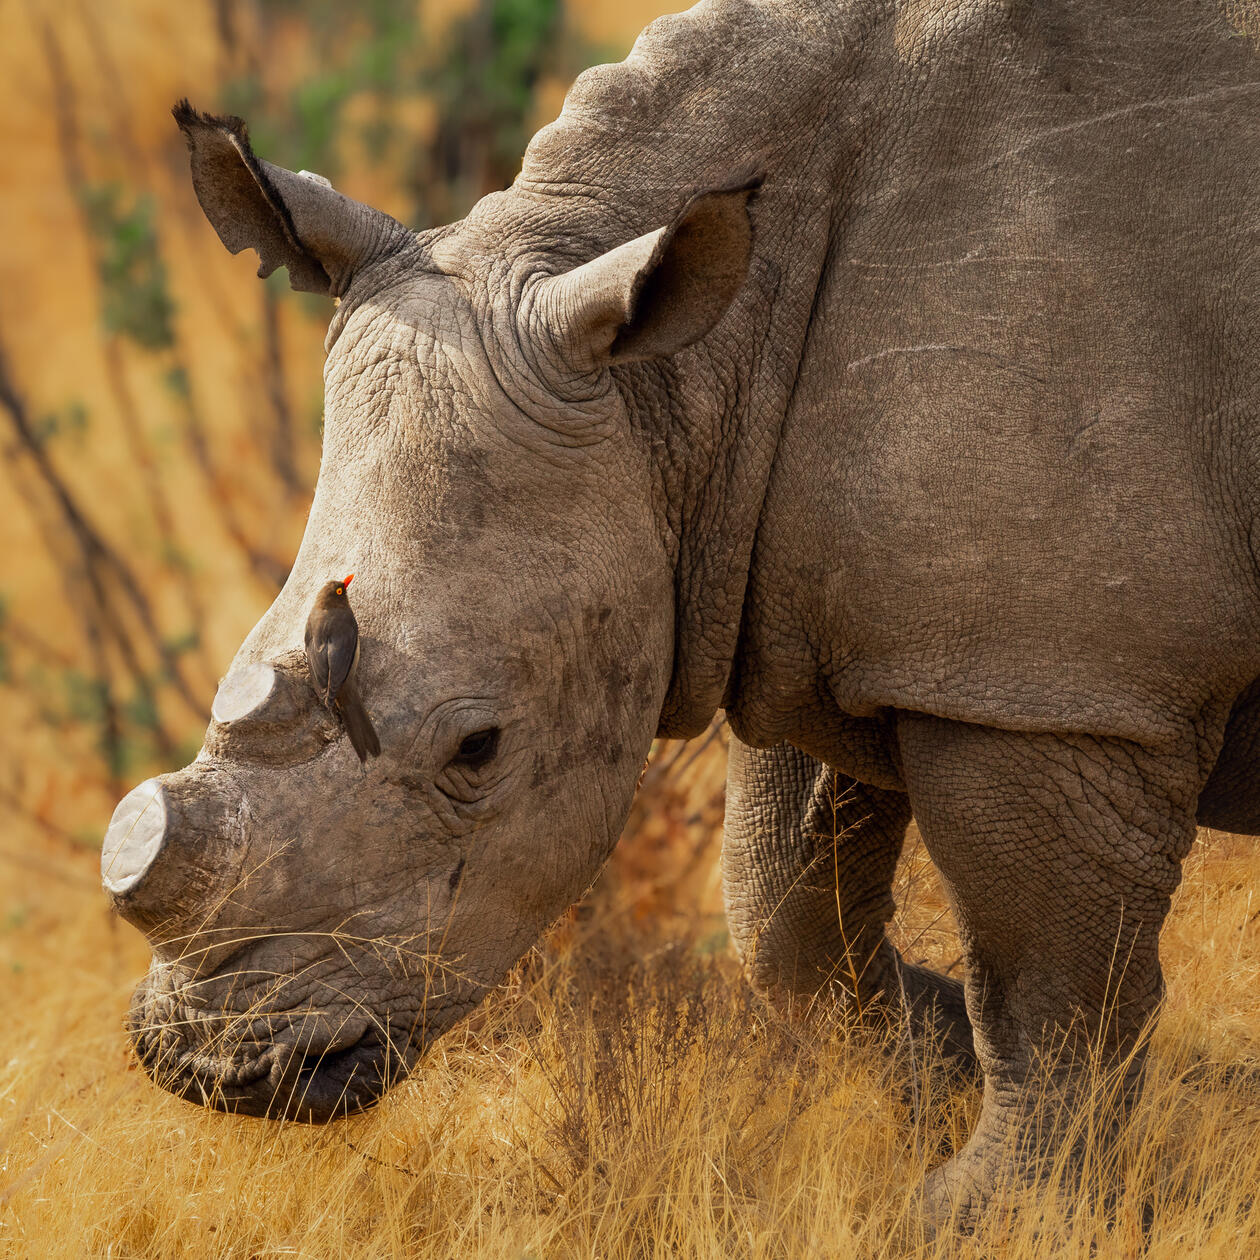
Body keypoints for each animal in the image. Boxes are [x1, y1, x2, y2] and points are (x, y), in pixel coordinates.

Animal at [101, 0, 1260, 1228]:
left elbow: (1048, 985)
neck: (686, 379)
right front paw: (947, 1076)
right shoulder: (839, 612)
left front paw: (984, 1216)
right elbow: (780, 909)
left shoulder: (1051, 683)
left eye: (479, 750)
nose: (212, 1066)